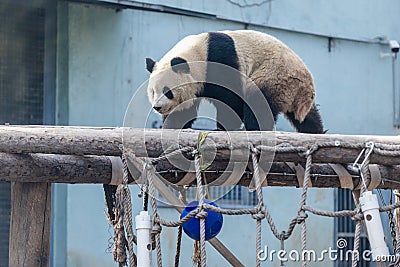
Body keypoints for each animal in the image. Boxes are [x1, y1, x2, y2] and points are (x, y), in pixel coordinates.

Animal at [145, 30, 324, 134]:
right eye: (153, 92)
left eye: (168, 91)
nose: (157, 107)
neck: (198, 53)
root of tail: (306, 84)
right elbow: (185, 109)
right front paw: (171, 125)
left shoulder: (219, 61)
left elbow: (230, 98)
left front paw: (222, 128)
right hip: (294, 92)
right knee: (307, 116)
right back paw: (316, 130)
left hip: (275, 74)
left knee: (258, 99)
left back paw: (253, 128)